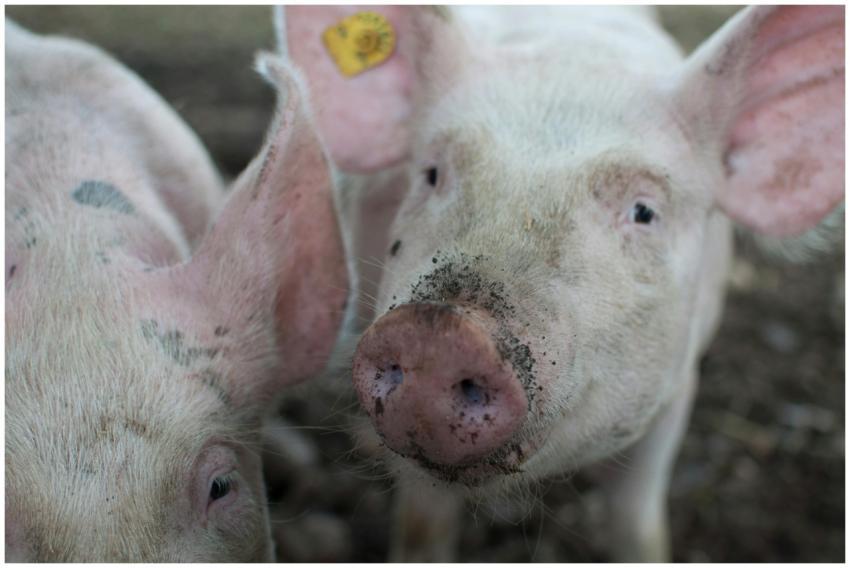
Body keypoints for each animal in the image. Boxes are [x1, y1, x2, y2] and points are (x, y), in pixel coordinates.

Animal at [277, 5, 844, 561]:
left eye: (644, 211)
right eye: (432, 174)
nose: (438, 330)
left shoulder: (678, 385)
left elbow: (636, 521)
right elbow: (422, 525)